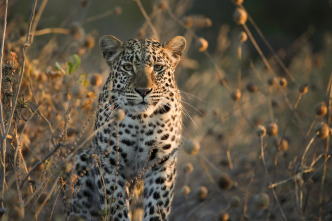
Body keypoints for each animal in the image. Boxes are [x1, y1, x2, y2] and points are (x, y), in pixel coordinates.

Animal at [67, 35, 187, 221]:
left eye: (158, 67)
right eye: (128, 67)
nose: (143, 91)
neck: (142, 120)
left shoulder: (162, 163)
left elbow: (157, 206)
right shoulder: (109, 162)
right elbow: (116, 205)